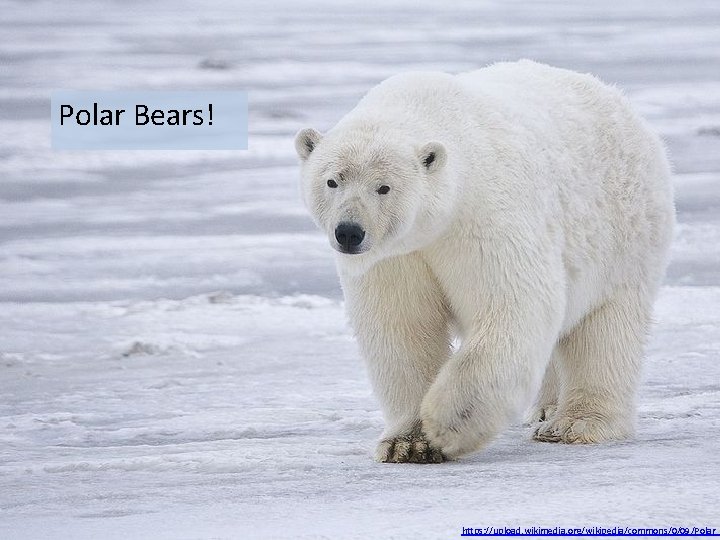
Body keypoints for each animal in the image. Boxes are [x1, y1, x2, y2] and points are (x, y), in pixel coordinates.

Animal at [294, 60, 675, 463]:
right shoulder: (395, 256)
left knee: (605, 329)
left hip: (624, 233)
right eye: (332, 181)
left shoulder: (484, 215)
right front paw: (407, 443)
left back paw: (574, 424)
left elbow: (512, 305)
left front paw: (446, 424)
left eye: (384, 187)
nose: (349, 232)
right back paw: (545, 408)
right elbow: (401, 328)